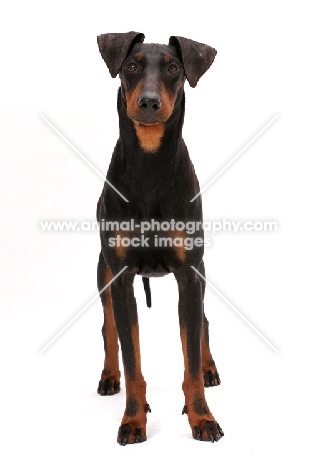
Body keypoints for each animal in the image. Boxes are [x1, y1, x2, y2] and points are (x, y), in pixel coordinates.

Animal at [95, 31, 222, 444]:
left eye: (174, 68)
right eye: (131, 64)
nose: (149, 103)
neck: (150, 165)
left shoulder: (189, 275)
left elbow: (191, 358)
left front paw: (202, 418)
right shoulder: (121, 279)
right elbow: (132, 360)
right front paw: (133, 420)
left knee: (203, 324)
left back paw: (211, 368)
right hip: (103, 272)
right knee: (109, 328)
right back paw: (108, 377)